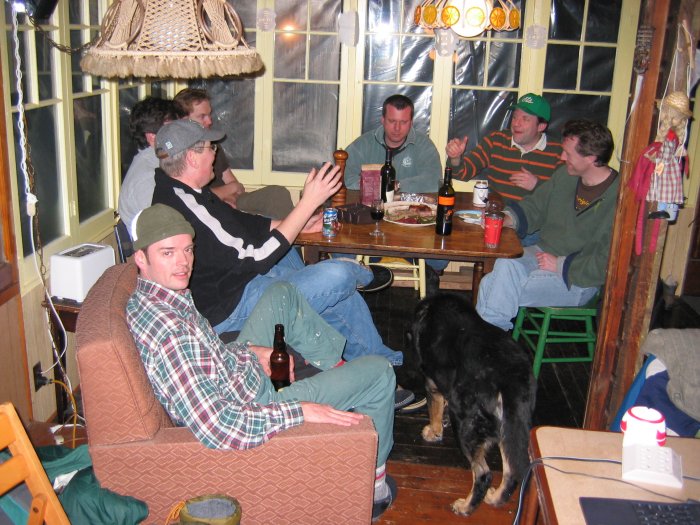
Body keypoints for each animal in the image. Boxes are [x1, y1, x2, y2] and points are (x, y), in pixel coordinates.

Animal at [408, 292, 536, 516]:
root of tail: (508, 377)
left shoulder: (431, 383)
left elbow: (434, 409)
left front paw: (434, 431)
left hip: (466, 425)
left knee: (483, 474)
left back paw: (466, 507)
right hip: (510, 428)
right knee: (511, 470)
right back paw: (495, 499)